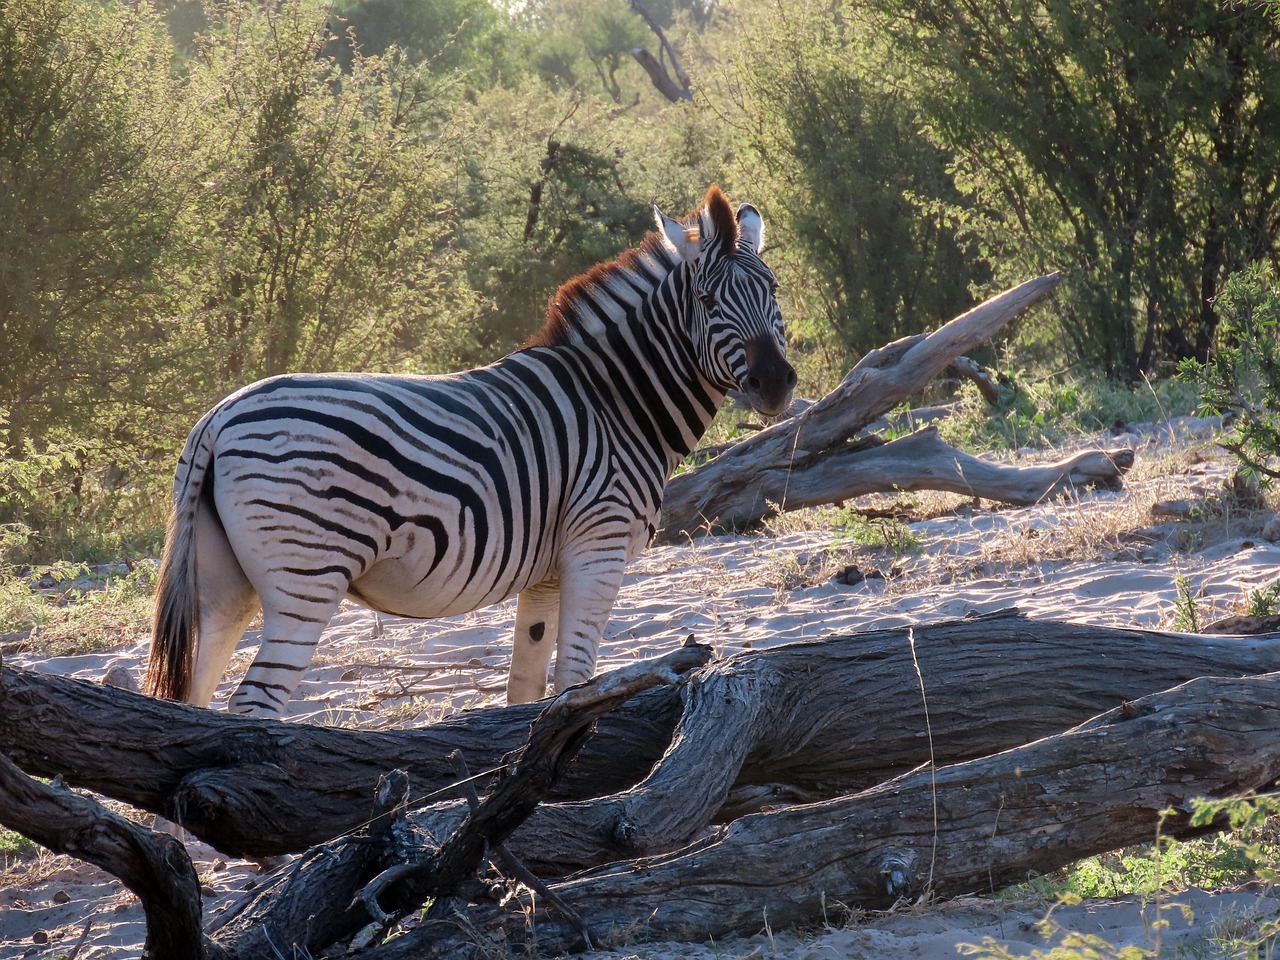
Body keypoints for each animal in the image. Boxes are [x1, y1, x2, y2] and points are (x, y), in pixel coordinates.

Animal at [144, 185, 795, 716]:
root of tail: (218, 420)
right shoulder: (598, 546)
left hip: (223, 584)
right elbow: (577, 680)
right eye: (707, 302)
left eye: (774, 291)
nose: (777, 384)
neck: (617, 401)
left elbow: (527, 688)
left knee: (192, 699)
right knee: (254, 703)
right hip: (307, 574)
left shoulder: (547, 572)